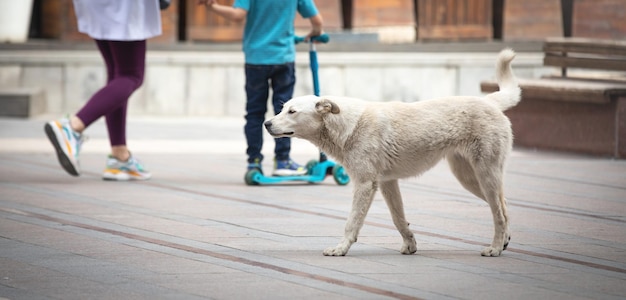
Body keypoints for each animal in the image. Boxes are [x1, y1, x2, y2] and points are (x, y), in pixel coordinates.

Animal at [266, 49, 520, 258]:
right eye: (281, 108)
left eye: (292, 111)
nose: (266, 124)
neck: (348, 126)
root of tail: (489, 102)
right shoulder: (387, 183)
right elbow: (399, 219)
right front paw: (410, 245)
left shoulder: (365, 184)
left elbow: (352, 222)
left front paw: (340, 249)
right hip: (469, 177)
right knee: (504, 204)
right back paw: (505, 241)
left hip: (485, 174)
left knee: (499, 212)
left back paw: (495, 248)